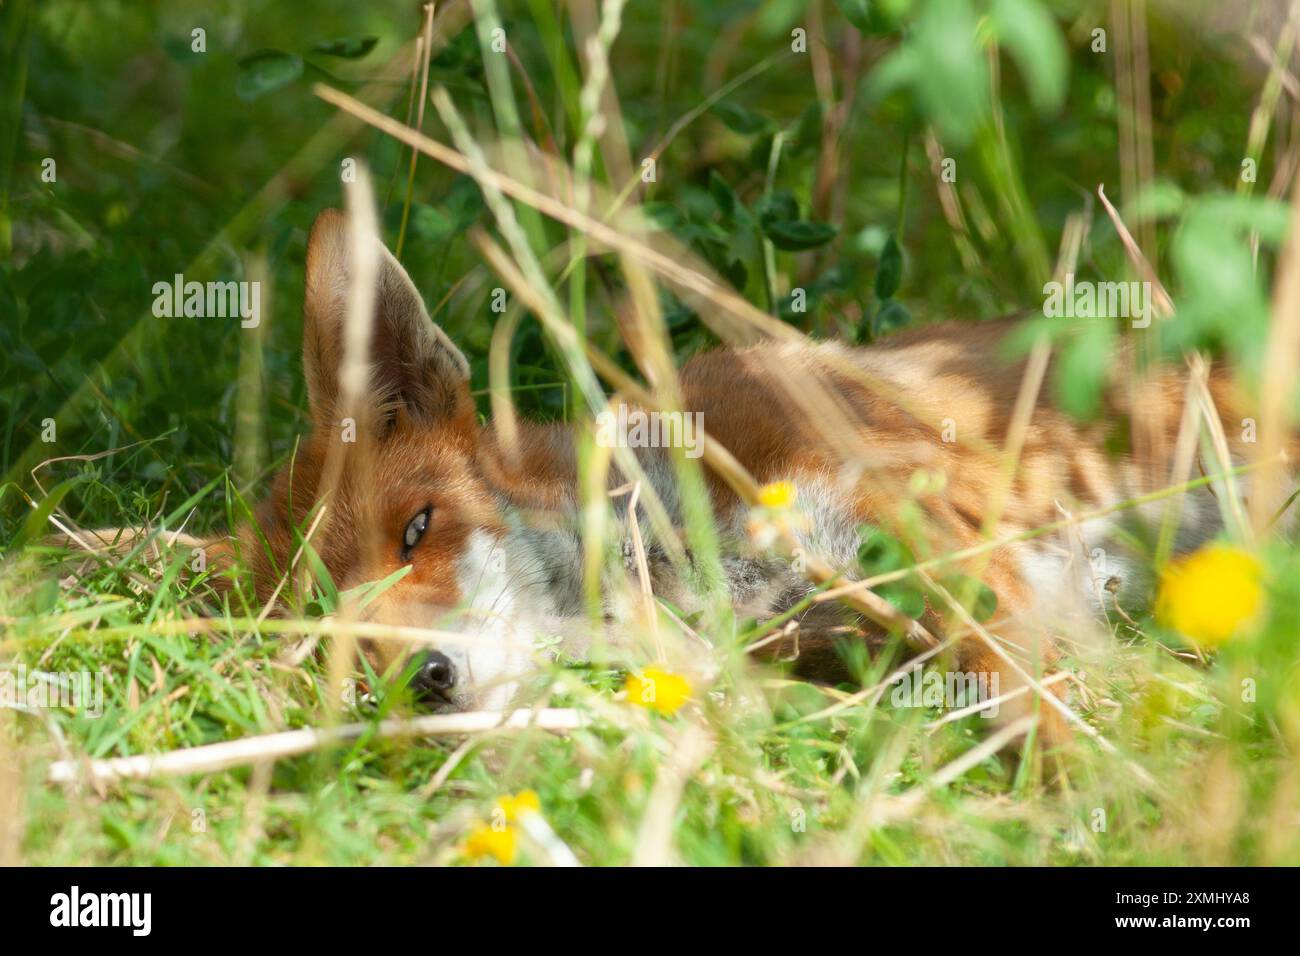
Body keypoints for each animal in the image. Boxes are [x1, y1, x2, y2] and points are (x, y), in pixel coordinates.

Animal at [202, 208, 1258, 749]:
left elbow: (1033, 701)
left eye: (417, 530)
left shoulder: (916, 517)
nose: (422, 679)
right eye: (317, 637)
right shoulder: (832, 640)